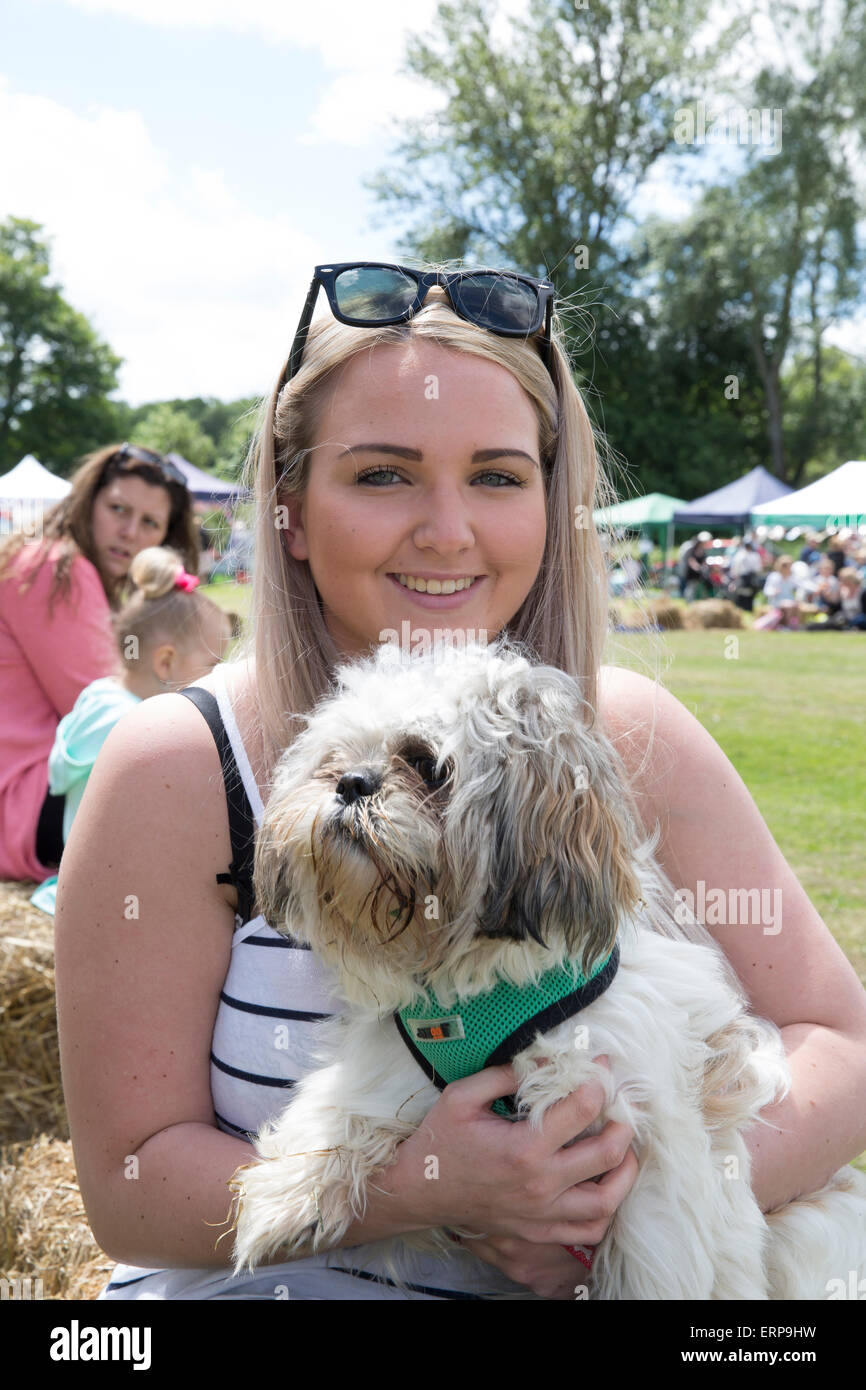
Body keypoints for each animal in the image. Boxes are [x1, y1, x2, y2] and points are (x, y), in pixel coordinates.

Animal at [226, 636, 861, 1295]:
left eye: (425, 764)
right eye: (334, 759)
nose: (351, 782)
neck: (482, 983)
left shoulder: (649, 1151)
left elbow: (653, 1260)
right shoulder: (400, 1063)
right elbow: (347, 1101)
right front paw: (290, 1191)